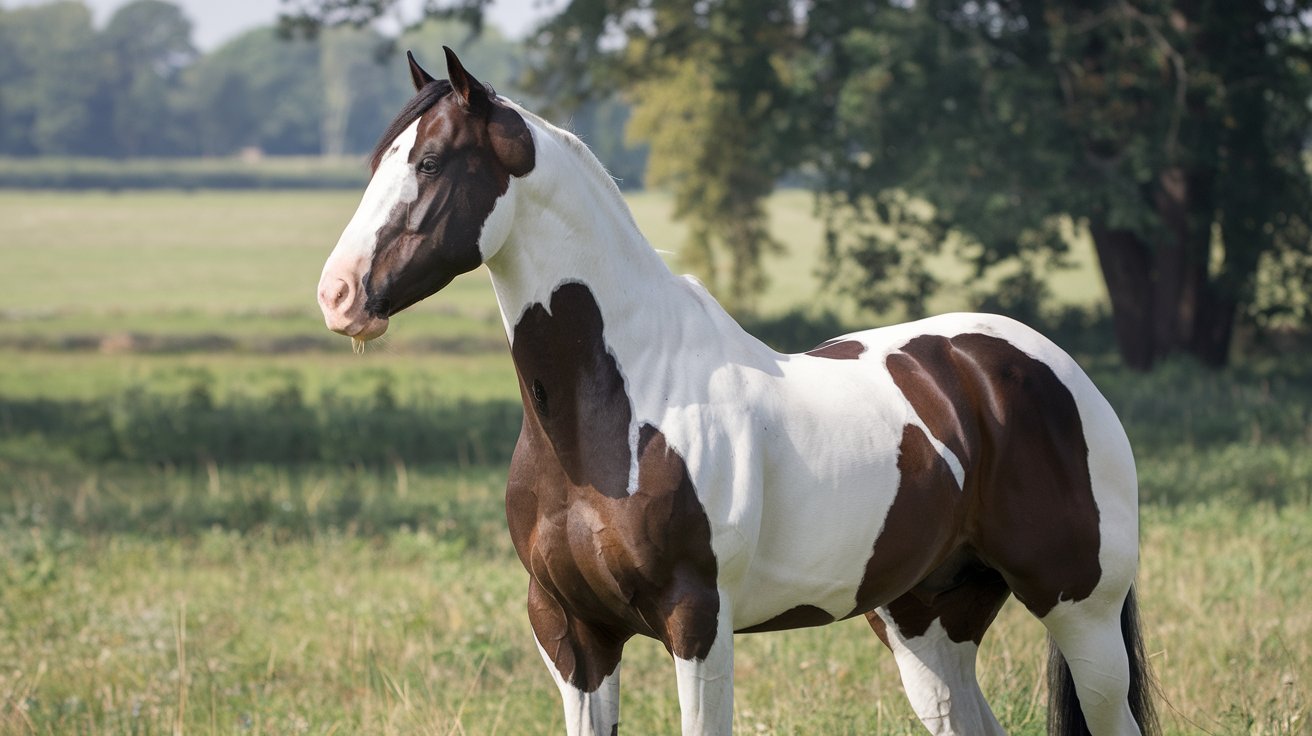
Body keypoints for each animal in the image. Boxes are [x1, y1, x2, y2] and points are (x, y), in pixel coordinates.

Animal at [316, 48, 1158, 736]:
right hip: (927, 624)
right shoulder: (570, 632)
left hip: (1081, 613)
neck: (612, 417)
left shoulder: (697, 626)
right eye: (378, 162)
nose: (337, 294)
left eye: (430, 162)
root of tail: (1049, 368)